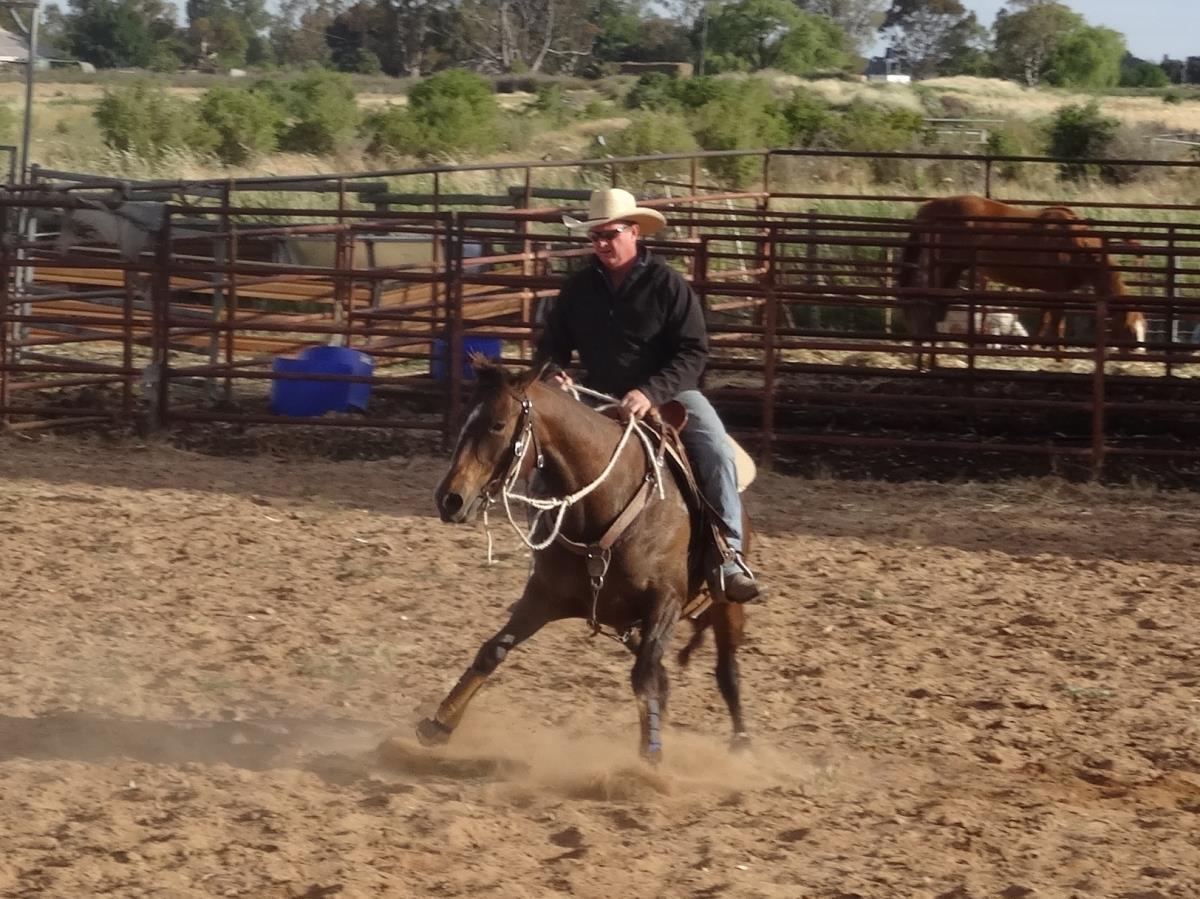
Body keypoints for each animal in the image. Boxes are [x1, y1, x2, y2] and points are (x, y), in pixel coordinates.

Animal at [424, 359, 751, 763]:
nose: (449, 500)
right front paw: (440, 722)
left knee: (725, 669)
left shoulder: (665, 602)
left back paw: (740, 740)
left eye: (497, 424)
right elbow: (493, 650)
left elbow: (644, 679)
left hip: (726, 604)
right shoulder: (544, 597)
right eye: (463, 418)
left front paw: (649, 758)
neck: (605, 500)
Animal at [896, 196, 1146, 359]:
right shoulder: (1056, 288)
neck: (1075, 243)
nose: (1138, 354)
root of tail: (929, 207)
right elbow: (1056, 321)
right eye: (1131, 331)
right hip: (943, 267)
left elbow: (1046, 319)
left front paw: (1038, 349)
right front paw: (1058, 354)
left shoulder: (1052, 289)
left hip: (953, 269)